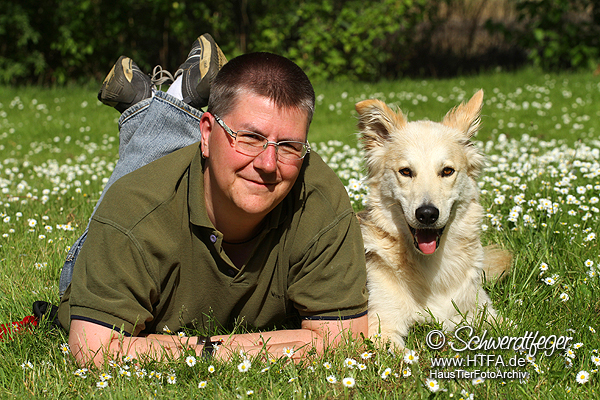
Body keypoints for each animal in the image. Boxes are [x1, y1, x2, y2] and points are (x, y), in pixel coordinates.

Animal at [356, 90, 510, 350]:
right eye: (406, 171)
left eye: (447, 171)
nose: (427, 214)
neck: (431, 269)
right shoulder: (380, 326)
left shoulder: (485, 312)